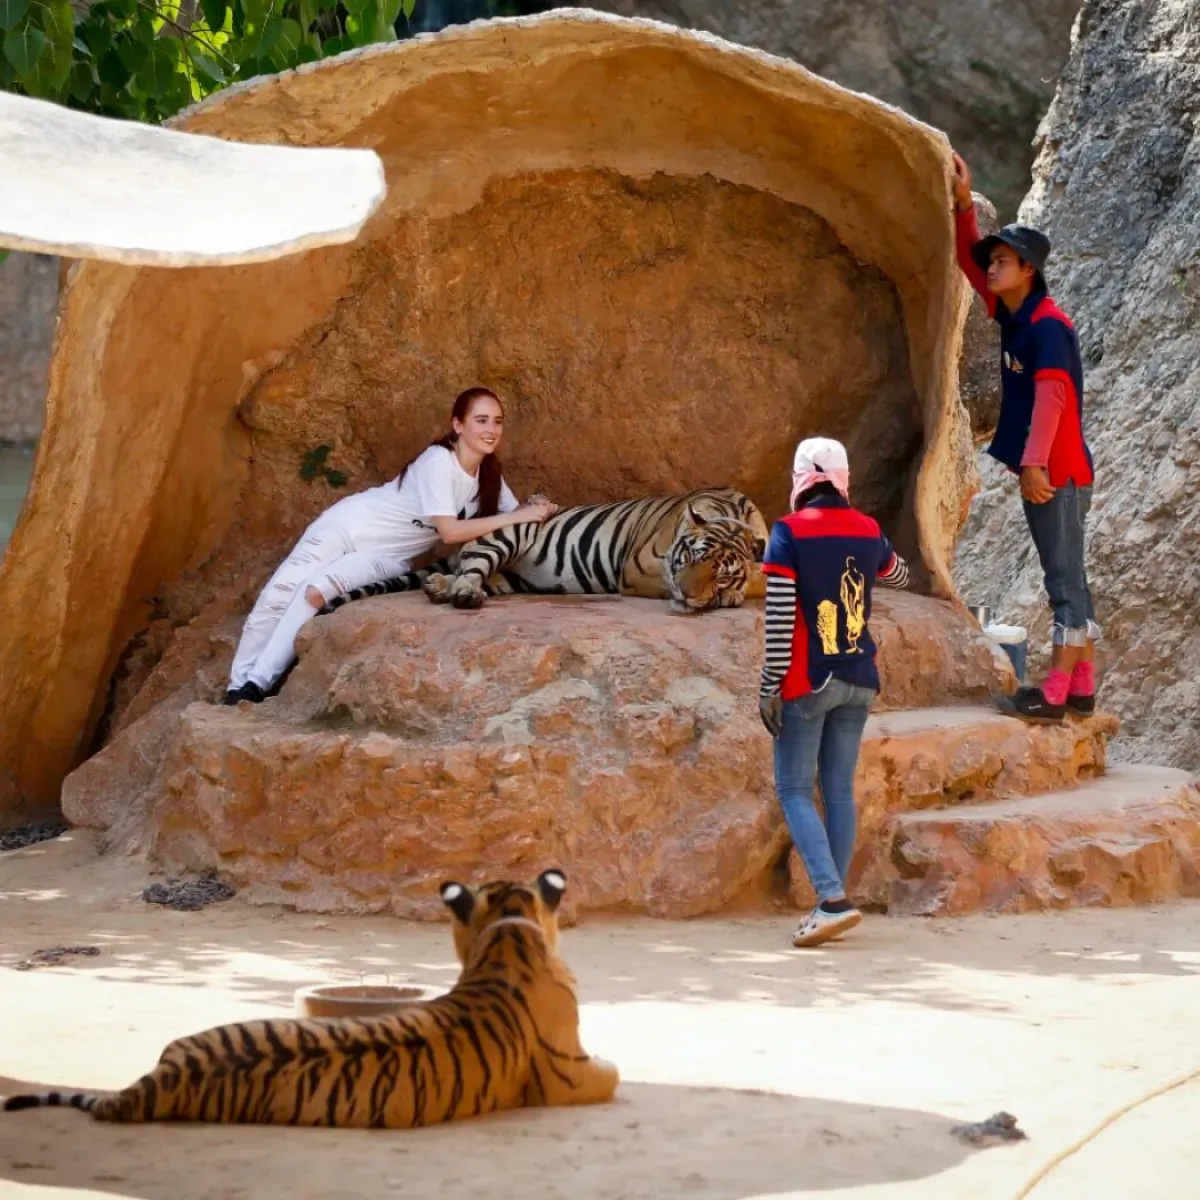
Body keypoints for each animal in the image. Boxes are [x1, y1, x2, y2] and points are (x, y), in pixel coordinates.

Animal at [316, 487, 769, 616]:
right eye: (691, 558)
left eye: (720, 573)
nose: (690, 597)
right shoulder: (639, 568)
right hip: (508, 533)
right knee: (472, 567)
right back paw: (459, 593)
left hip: (510, 578)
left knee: (475, 574)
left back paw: (439, 585)